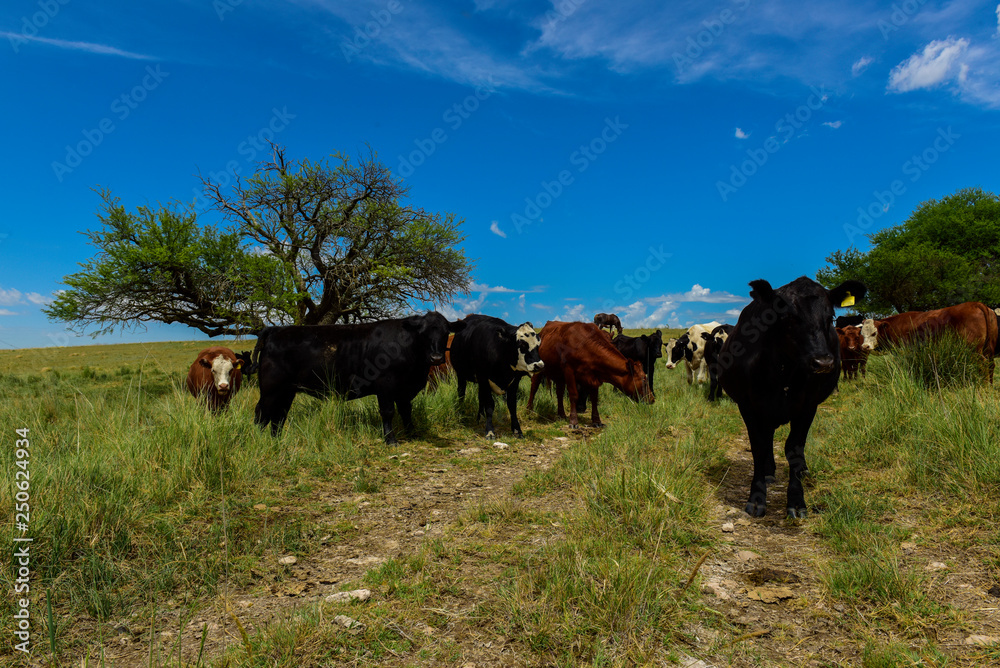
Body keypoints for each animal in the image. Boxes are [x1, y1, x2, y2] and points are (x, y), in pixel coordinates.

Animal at [252, 312, 465, 444]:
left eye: (446, 332)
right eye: (423, 333)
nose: (436, 358)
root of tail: (275, 330)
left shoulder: (404, 390)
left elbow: (406, 411)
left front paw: (412, 433)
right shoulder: (386, 386)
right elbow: (388, 412)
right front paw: (391, 440)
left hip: (287, 391)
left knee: (279, 416)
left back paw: (276, 440)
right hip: (270, 390)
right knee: (262, 413)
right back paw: (259, 440)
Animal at [719, 276, 866, 518]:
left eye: (830, 317)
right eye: (787, 317)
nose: (823, 362)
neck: (783, 371)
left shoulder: (808, 405)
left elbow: (794, 449)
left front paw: (797, 501)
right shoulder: (748, 405)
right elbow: (758, 446)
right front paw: (757, 498)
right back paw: (768, 471)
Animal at [860, 302, 998, 382]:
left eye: (874, 333)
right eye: (862, 334)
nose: (865, 346)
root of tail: (976, 304)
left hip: (974, 350)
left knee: (983, 364)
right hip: (988, 350)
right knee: (991, 365)